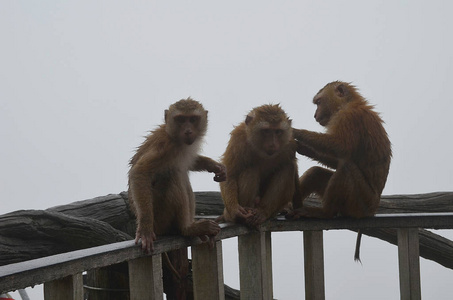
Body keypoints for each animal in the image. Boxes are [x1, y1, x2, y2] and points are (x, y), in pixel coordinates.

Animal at [126, 98, 225, 253]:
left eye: (193, 119)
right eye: (180, 119)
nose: (188, 131)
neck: (174, 137)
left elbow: (190, 162)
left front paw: (214, 165)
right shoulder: (165, 147)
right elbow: (139, 173)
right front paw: (145, 229)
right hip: (160, 219)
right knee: (174, 175)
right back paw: (187, 229)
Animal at [288, 81, 390, 262]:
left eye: (319, 102)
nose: (315, 115)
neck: (349, 103)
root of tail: (372, 210)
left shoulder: (349, 117)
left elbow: (340, 147)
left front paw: (296, 132)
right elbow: (338, 157)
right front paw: (304, 148)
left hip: (360, 204)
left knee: (346, 168)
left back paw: (325, 213)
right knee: (317, 172)